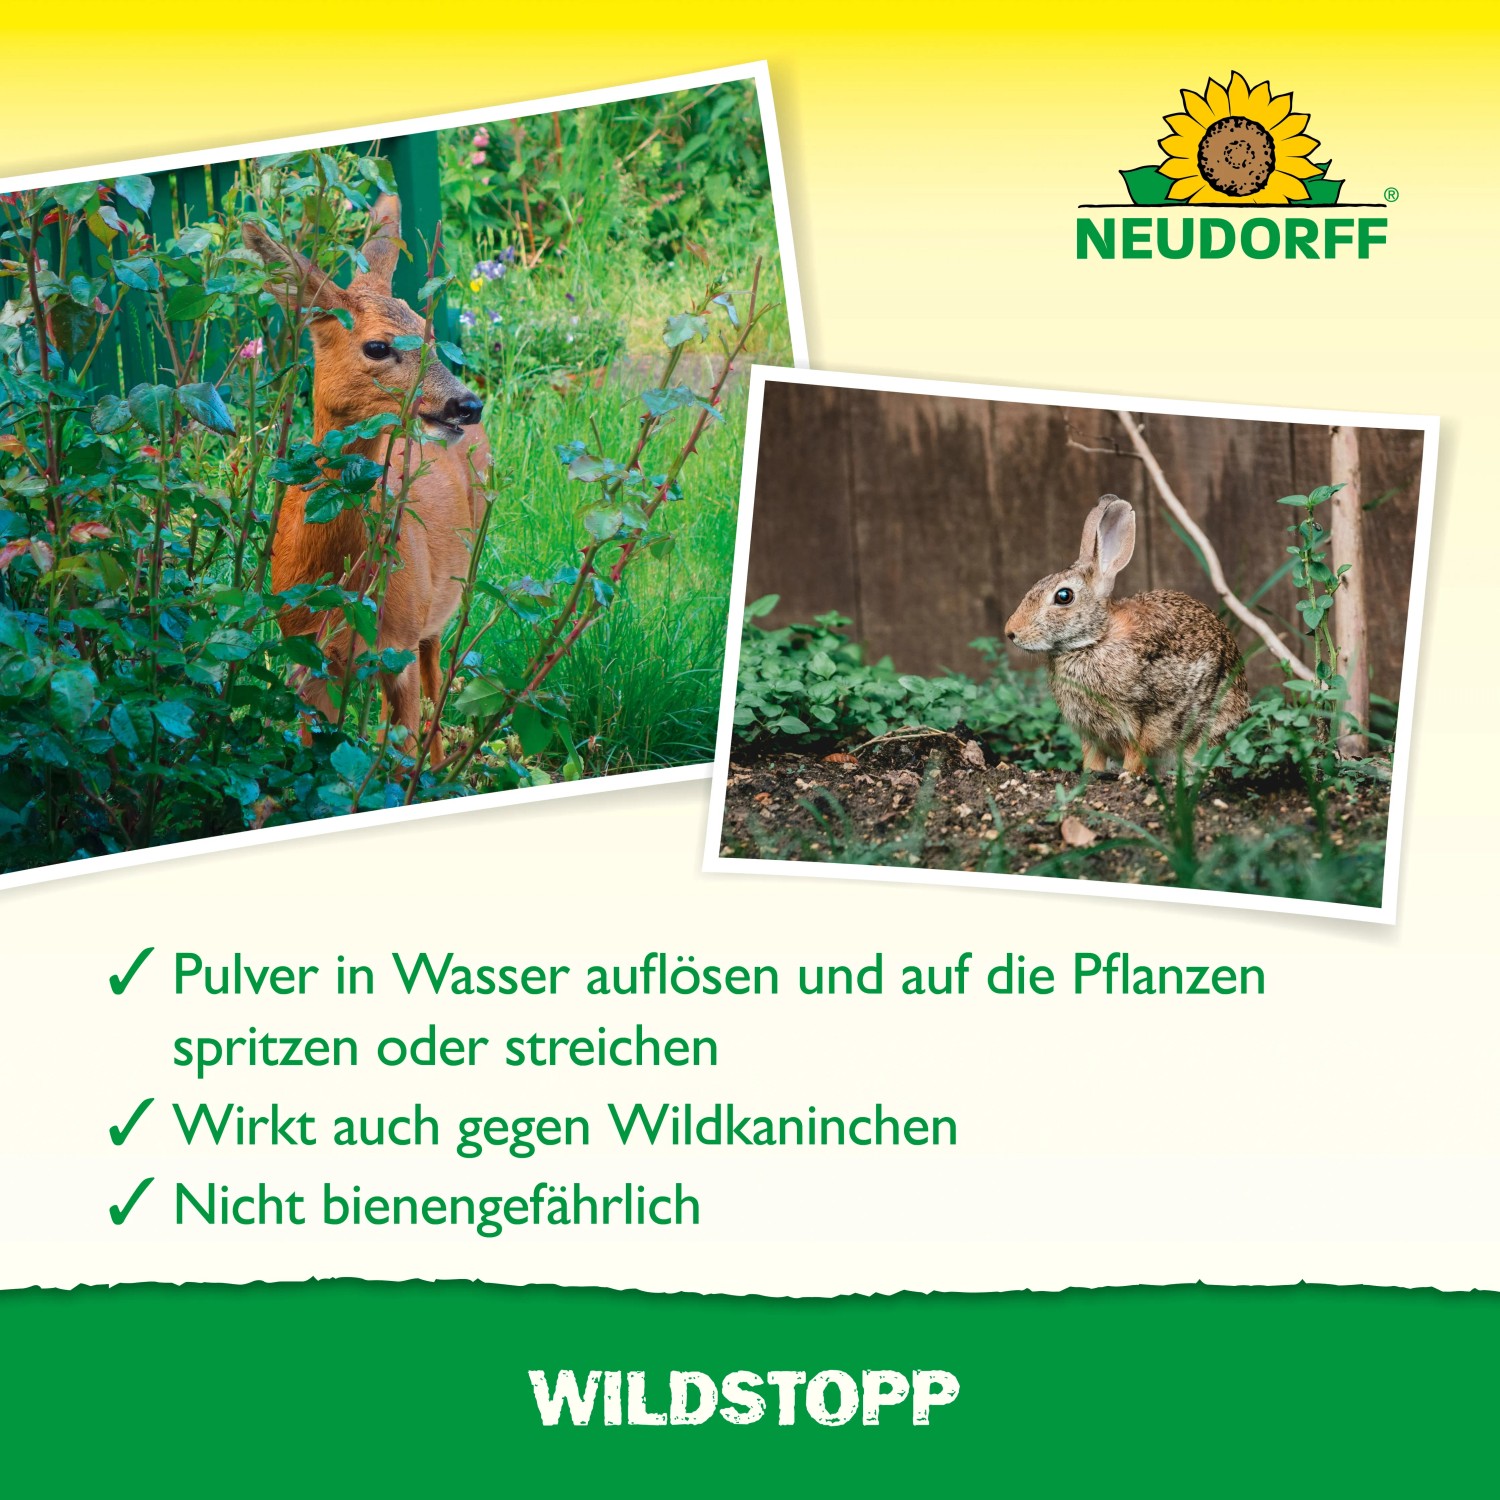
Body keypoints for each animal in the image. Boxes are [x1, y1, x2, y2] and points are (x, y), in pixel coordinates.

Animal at [242, 194, 491, 764]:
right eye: (377, 347)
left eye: (430, 335)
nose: (467, 406)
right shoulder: (305, 656)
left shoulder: (396, 647)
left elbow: (396, 757)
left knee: (434, 679)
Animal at [1003, 495, 1247, 775]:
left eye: (1064, 596)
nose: (1011, 632)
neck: (1095, 639)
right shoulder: (1090, 731)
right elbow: (1092, 757)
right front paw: (1091, 773)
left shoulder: (1146, 716)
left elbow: (1137, 751)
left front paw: (1128, 775)